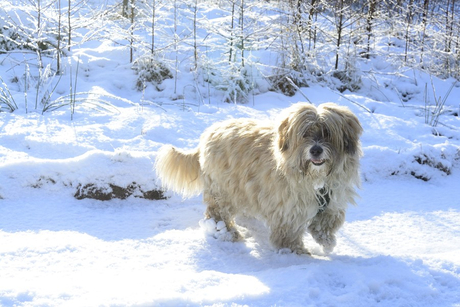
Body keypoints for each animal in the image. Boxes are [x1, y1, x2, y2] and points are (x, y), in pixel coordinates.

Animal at [155, 103, 362, 255]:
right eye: (304, 134)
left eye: (328, 133)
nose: (316, 150)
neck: (316, 179)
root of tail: (208, 133)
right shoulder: (288, 208)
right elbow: (289, 233)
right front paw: (296, 252)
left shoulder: (333, 199)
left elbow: (326, 223)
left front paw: (325, 240)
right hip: (225, 189)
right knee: (217, 213)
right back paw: (225, 232)